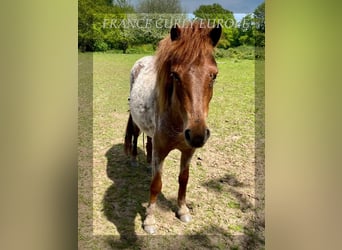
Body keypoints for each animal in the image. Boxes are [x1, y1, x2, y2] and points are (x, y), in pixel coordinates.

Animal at [123, 21, 222, 234]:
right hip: (136, 121)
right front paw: (150, 220)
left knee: (148, 140)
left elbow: (184, 179)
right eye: (175, 75)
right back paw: (134, 159)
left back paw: (147, 163)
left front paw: (183, 210)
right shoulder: (161, 151)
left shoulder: (188, 151)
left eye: (214, 75)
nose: (197, 135)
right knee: (135, 135)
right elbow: (156, 184)